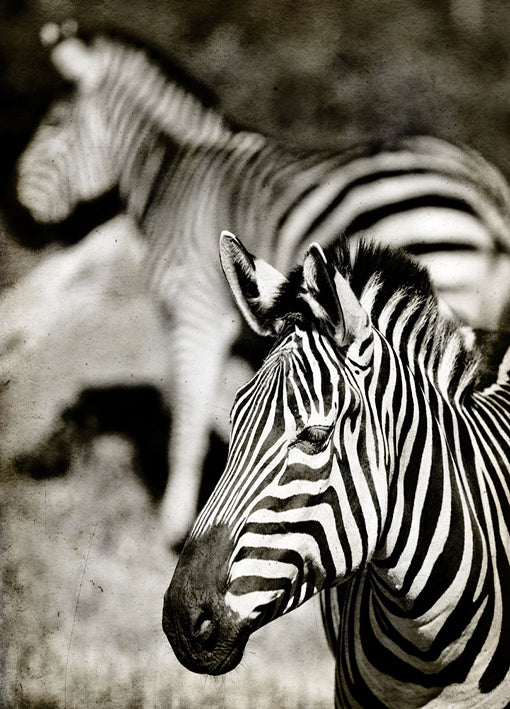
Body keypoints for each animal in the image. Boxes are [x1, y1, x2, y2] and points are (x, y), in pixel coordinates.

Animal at [16, 27, 510, 549]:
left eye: (54, 124)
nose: (18, 223)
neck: (172, 171)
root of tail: (487, 187)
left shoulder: (195, 305)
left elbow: (189, 412)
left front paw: (172, 524)